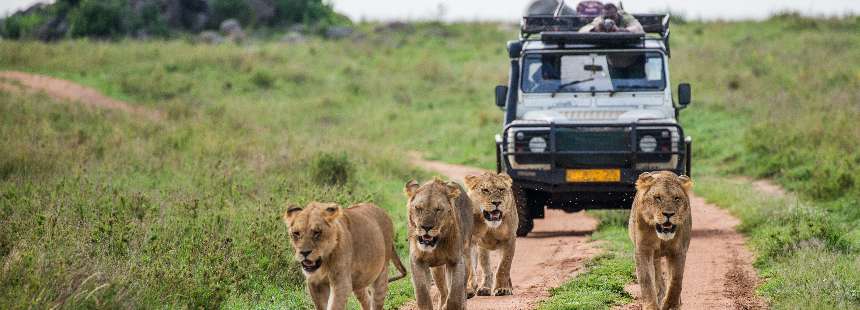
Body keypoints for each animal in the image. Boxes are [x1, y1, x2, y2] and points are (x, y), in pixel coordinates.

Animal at [404, 178, 478, 310]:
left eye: (438, 209)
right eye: (418, 208)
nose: (426, 227)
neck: (436, 246)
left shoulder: (455, 261)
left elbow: (455, 295)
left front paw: (451, 305)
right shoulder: (417, 260)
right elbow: (422, 293)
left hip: (466, 256)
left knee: (461, 289)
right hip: (437, 270)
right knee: (443, 291)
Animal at [628, 171, 696, 308]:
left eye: (676, 198)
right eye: (657, 198)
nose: (668, 214)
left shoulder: (678, 251)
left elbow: (676, 279)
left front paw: (671, 305)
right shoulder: (643, 250)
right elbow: (647, 280)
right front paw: (651, 306)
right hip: (654, 255)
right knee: (657, 276)